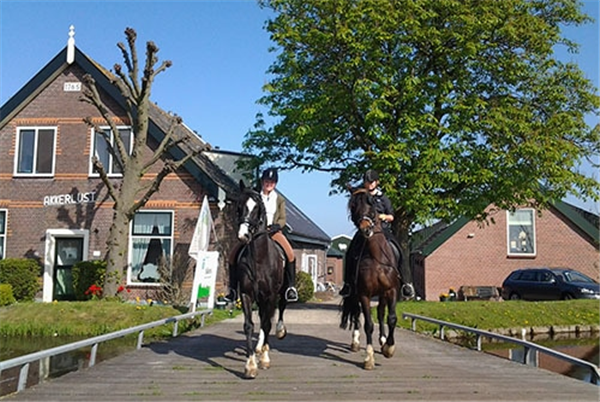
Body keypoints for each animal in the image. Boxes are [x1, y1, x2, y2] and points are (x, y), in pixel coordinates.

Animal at [233, 181, 288, 378]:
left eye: (257, 208)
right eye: (239, 206)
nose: (243, 236)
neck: (259, 258)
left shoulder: (271, 295)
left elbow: (266, 323)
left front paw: (264, 359)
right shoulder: (246, 294)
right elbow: (249, 325)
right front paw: (250, 365)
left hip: (280, 293)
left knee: (276, 313)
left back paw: (276, 335)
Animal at [340, 188, 400, 370]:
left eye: (372, 204)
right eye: (353, 207)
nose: (366, 229)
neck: (376, 257)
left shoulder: (391, 290)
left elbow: (391, 318)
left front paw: (389, 347)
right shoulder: (364, 294)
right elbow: (368, 324)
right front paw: (369, 358)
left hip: (382, 294)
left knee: (380, 312)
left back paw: (383, 340)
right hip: (354, 293)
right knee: (355, 312)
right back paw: (355, 341)